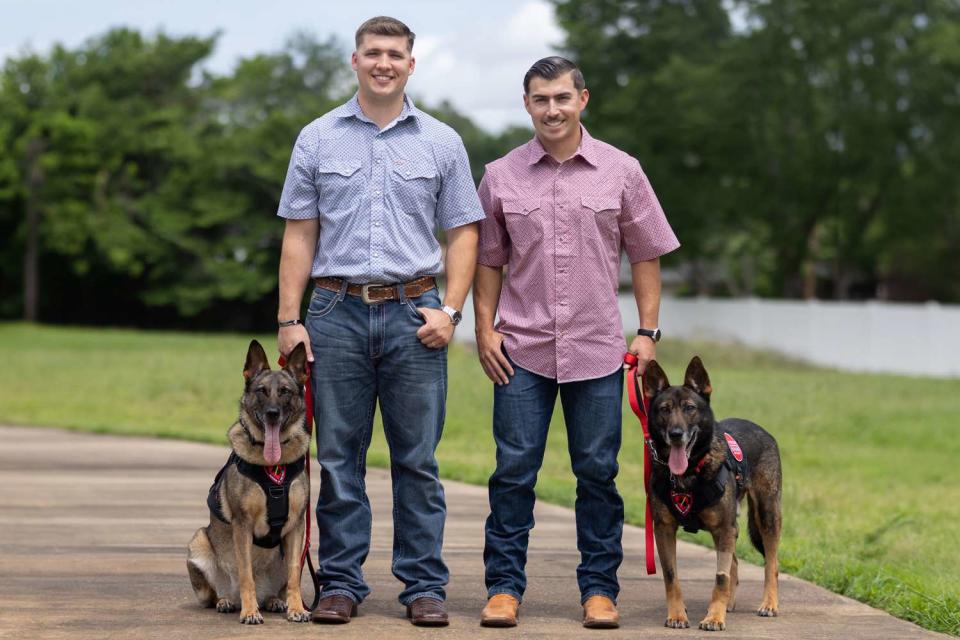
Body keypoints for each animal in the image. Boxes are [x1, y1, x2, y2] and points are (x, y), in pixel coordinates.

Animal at [191, 340, 316, 624]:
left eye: (284, 392)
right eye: (261, 391)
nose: (272, 414)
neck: (273, 466)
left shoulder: (296, 527)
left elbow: (295, 574)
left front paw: (297, 609)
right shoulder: (243, 525)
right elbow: (246, 573)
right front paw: (250, 613)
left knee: (278, 587)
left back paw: (274, 602)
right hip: (199, 541)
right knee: (216, 594)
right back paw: (228, 602)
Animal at [640, 358, 784, 632]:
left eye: (689, 408)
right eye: (664, 409)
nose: (676, 434)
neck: (689, 473)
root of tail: (762, 430)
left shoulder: (724, 529)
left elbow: (721, 577)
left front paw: (714, 618)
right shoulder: (664, 529)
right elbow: (671, 575)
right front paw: (677, 615)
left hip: (766, 516)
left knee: (771, 564)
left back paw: (769, 604)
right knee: (736, 563)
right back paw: (729, 603)